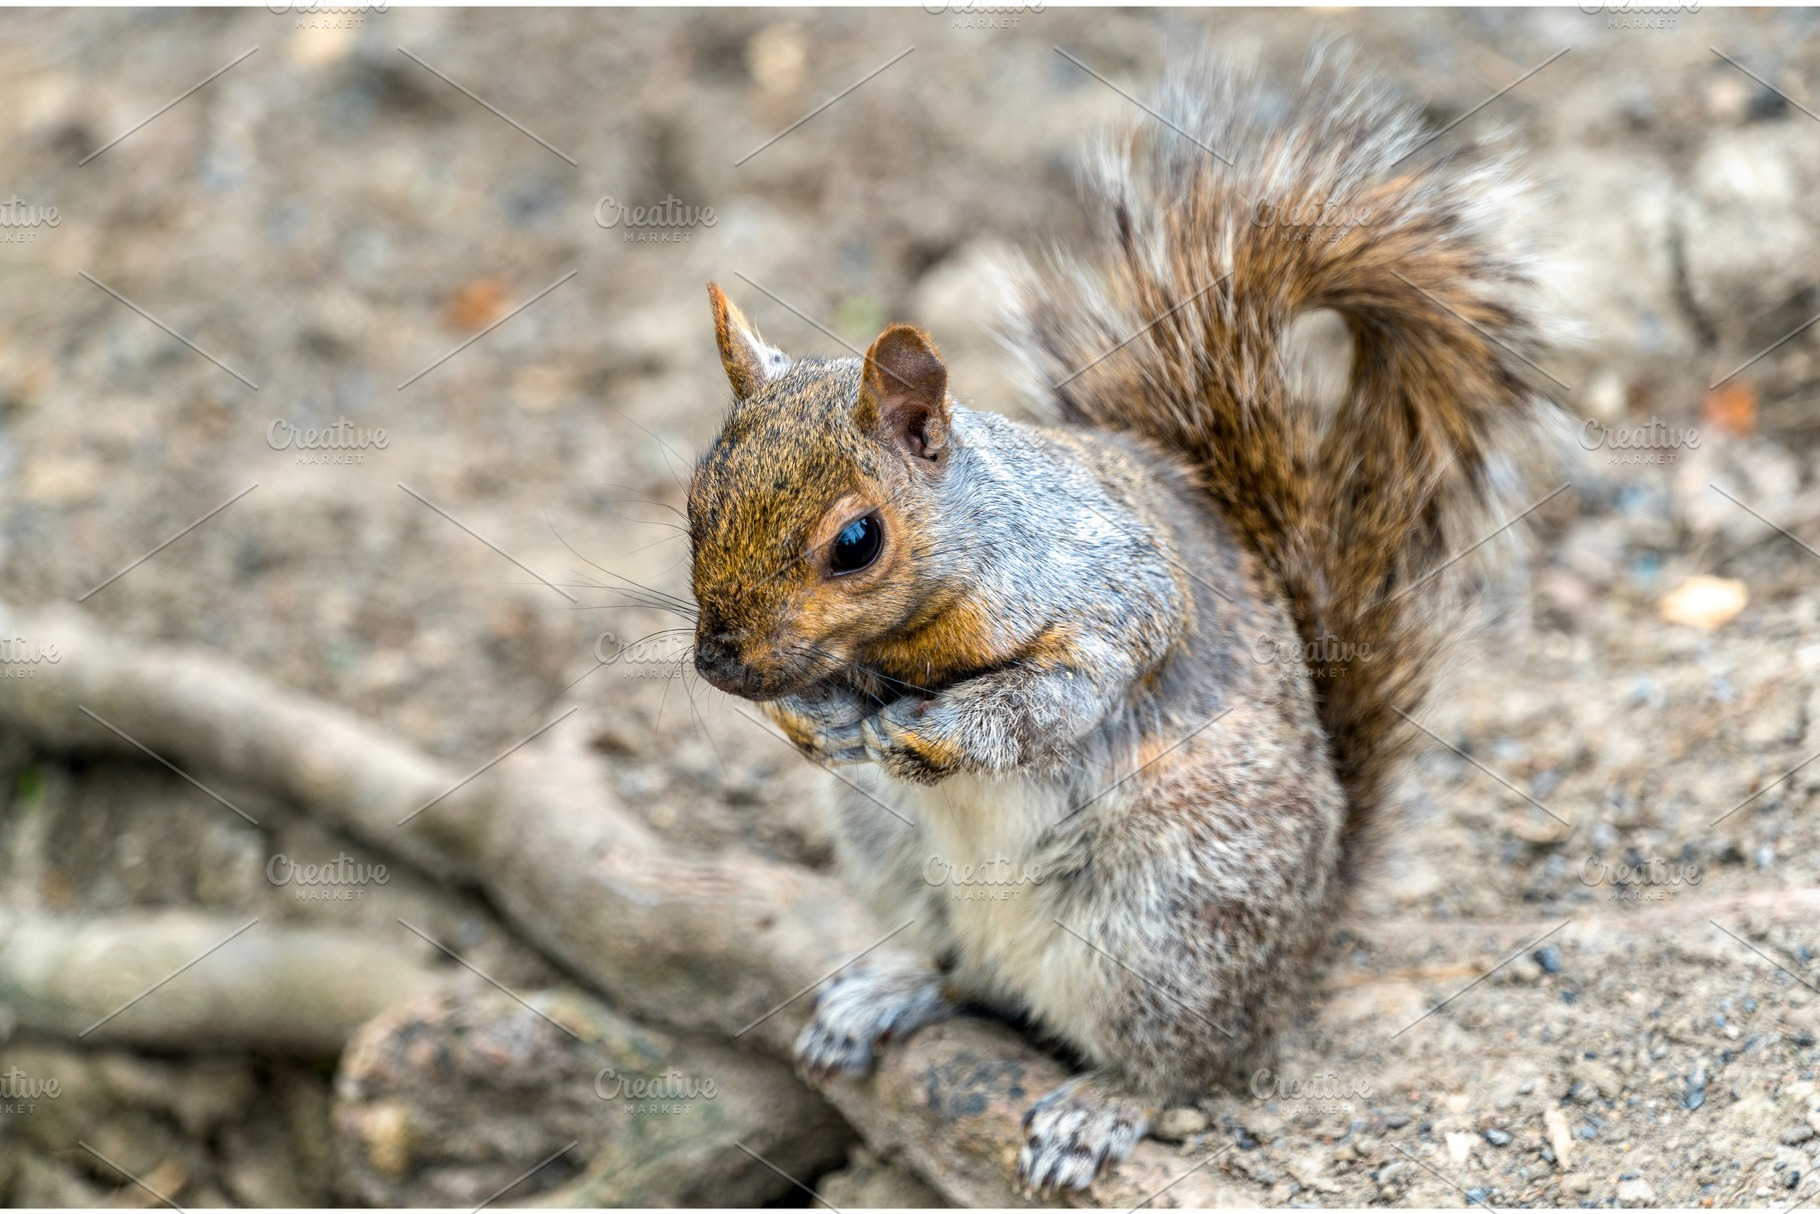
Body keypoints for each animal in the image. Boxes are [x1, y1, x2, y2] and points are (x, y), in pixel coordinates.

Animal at [686, 47, 1561, 1192]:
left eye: (855, 540)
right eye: (694, 495)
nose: (717, 665)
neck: (912, 633)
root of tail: (1302, 942)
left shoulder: (1115, 595)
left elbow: (1050, 697)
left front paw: (928, 730)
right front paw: (822, 726)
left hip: (1171, 922)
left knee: (1184, 1061)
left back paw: (1100, 1106)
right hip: (897, 863)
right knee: (964, 971)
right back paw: (889, 988)